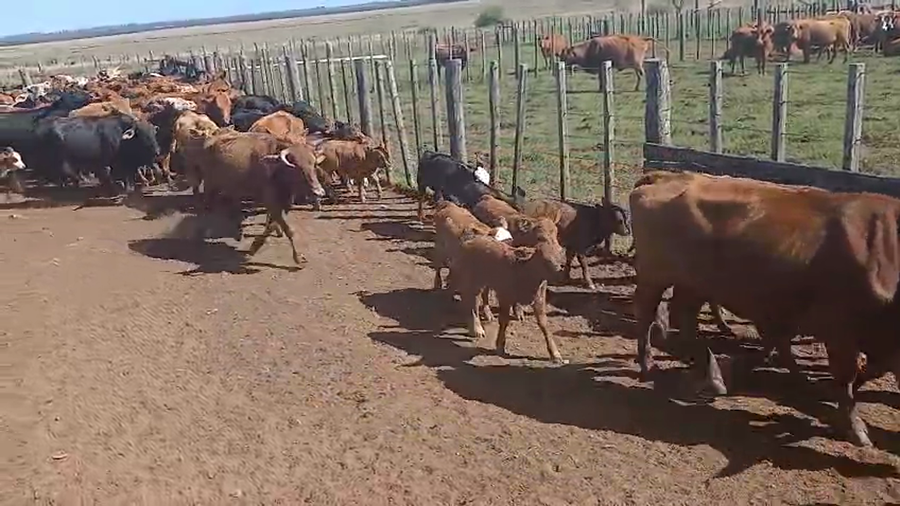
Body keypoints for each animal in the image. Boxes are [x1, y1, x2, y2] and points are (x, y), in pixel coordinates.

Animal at [184, 130, 326, 264]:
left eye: (314, 164)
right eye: (297, 167)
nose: (318, 192)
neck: (275, 168)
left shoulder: (284, 202)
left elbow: (272, 225)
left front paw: (254, 247)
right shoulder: (271, 201)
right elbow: (288, 229)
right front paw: (297, 258)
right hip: (209, 183)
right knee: (205, 206)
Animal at [630, 170, 900, 448]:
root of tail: (668, 175)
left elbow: (869, 371)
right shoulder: (840, 330)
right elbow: (846, 377)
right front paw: (855, 428)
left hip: (693, 284)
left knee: (685, 318)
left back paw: (712, 375)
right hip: (656, 275)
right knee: (647, 314)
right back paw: (649, 365)